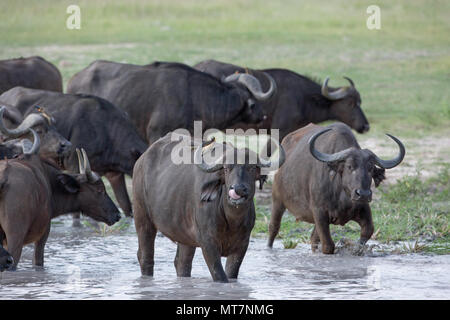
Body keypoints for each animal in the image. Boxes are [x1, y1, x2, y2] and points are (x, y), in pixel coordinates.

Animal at [0, 132, 121, 270]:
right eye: (100, 189)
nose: (117, 215)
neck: (50, 183)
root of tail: (4, 178)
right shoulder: (42, 236)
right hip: (15, 238)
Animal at [268, 124, 404, 254]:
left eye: (370, 168)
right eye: (349, 166)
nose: (363, 194)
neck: (341, 197)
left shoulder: (363, 207)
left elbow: (368, 230)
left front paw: (357, 249)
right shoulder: (319, 212)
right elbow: (328, 246)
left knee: (313, 238)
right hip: (277, 200)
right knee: (274, 227)